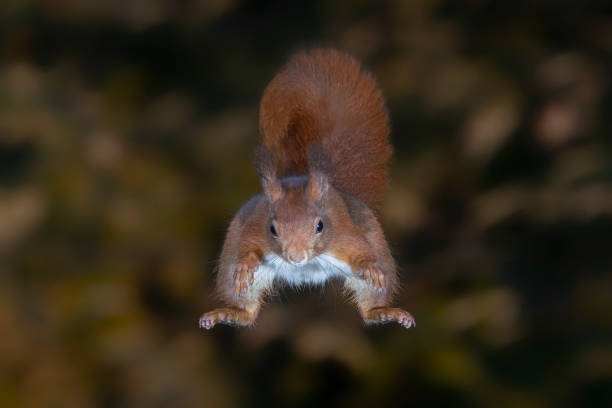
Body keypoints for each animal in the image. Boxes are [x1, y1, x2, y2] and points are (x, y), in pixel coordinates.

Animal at [198, 47, 414, 328]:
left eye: (320, 225)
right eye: (273, 228)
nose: (296, 258)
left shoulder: (346, 234)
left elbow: (362, 252)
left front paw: (369, 267)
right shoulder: (253, 227)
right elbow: (247, 247)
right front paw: (245, 264)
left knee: (369, 307)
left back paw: (382, 311)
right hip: (232, 275)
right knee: (247, 312)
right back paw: (230, 312)